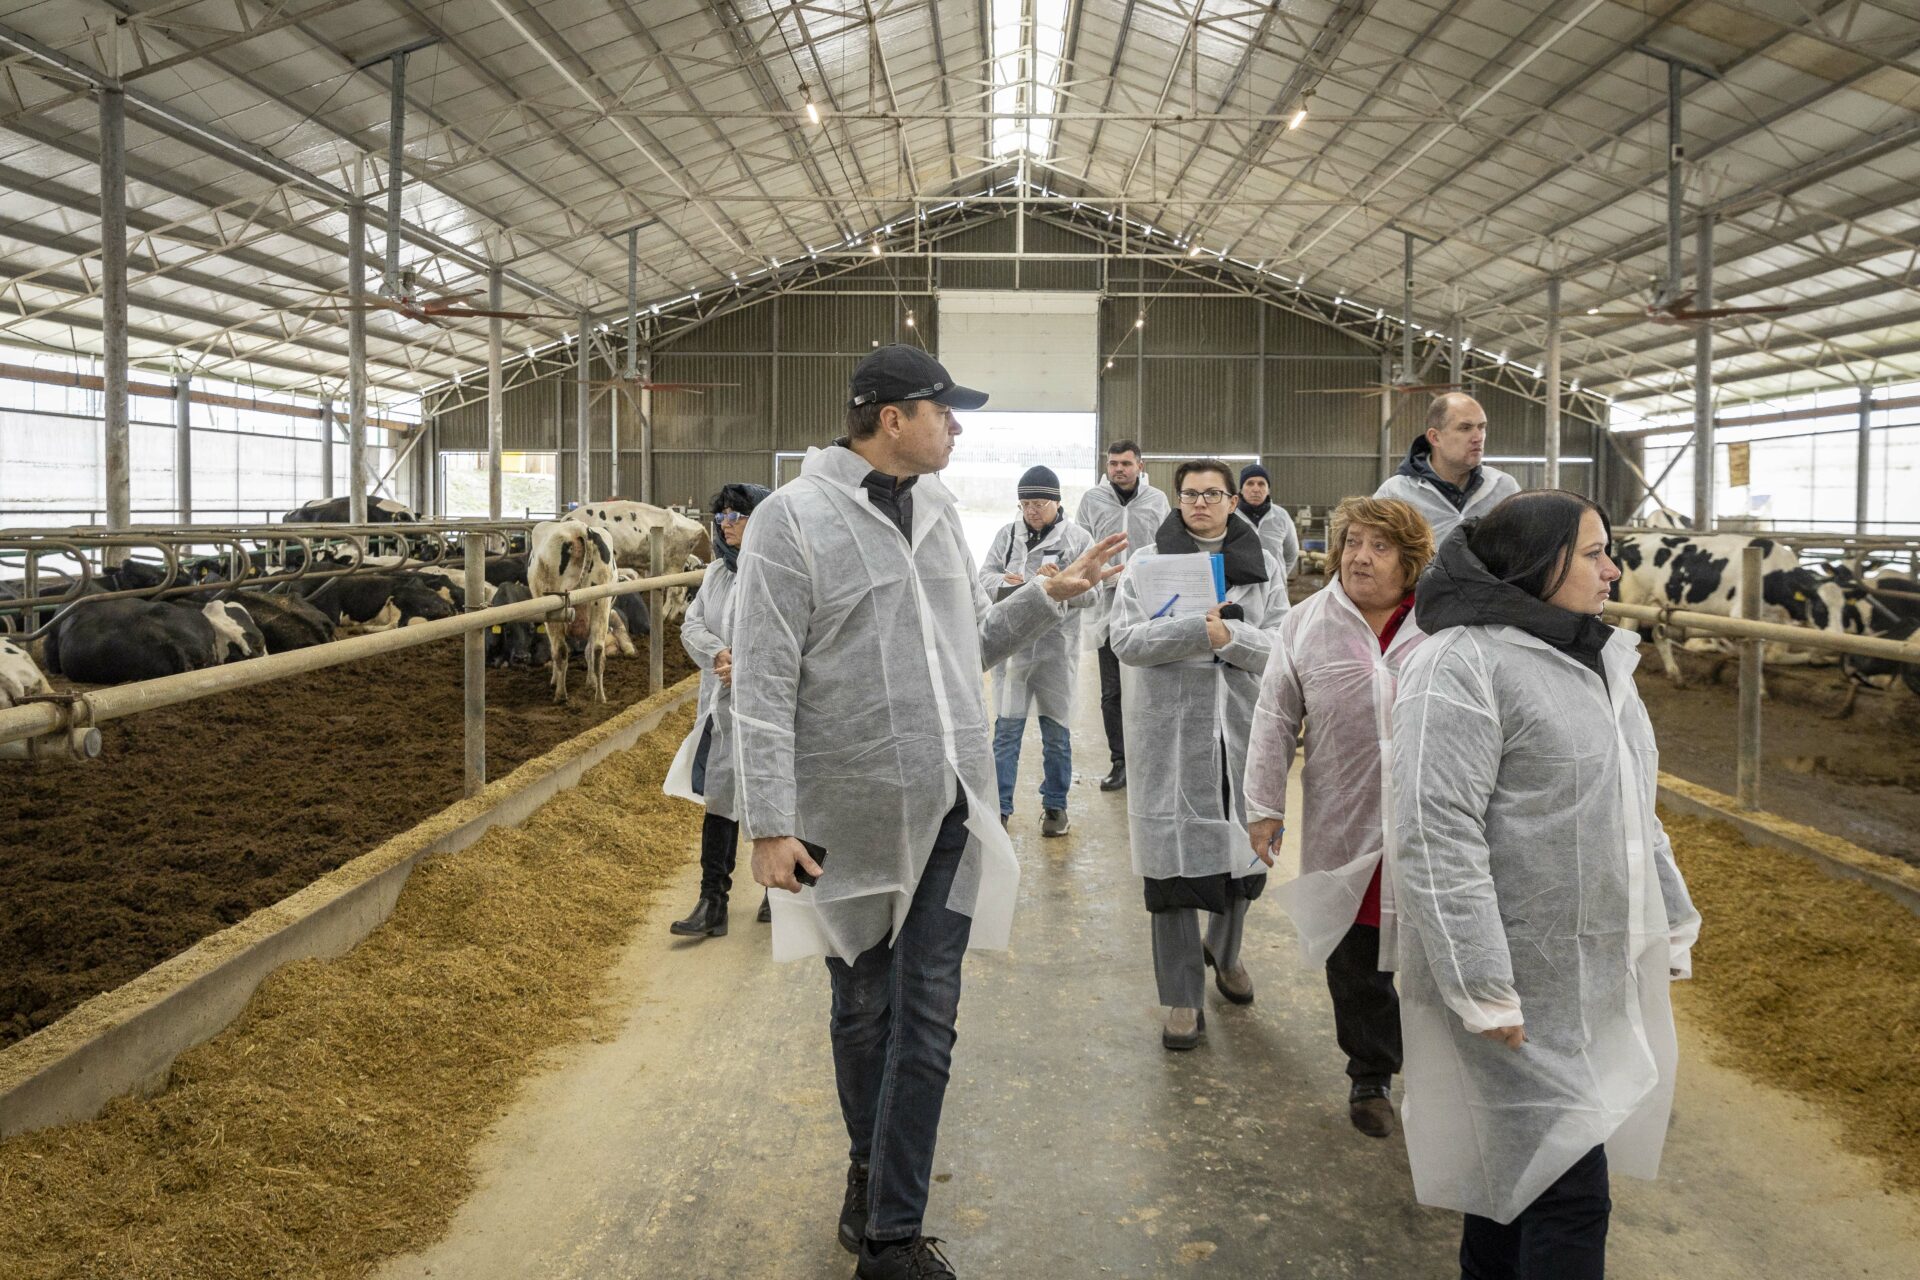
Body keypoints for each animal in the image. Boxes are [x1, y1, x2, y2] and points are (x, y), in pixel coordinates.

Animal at [528, 519, 614, 703]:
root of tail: (581, 528)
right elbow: (589, 650)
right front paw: (591, 683)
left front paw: (554, 681)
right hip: (601, 602)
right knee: (597, 650)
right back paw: (600, 697)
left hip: (555, 607)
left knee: (560, 650)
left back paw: (560, 694)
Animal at [574, 500, 708, 620]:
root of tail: (696, 524)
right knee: (680, 590)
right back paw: (672, 615)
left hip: (673, 565)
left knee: (675, 590)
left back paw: (664, 615)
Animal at [1615, 532, 1852, 685]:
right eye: (1820, 606)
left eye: (1843, 609)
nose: (1837, 639)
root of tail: (1630, 539)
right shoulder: (1740, 615)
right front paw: (1757, 686)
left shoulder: (1777, 621)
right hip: (1634, 600)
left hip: (1658, 604)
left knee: (1659, 636)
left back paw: (1676, 675)